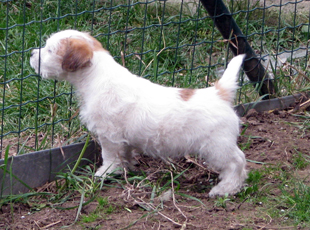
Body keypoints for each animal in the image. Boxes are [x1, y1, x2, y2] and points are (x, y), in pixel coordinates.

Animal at [29, 29, 247, 197]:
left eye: (49, 50)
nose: (31, 53)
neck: (97, 75)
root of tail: (219, 93)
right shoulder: (122, 138)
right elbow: (124, 153)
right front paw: (127, 167)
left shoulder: (109, 135)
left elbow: (109, 156)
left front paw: (106, 173)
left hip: (217, 147)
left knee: (237, 162)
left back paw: (225, 188)